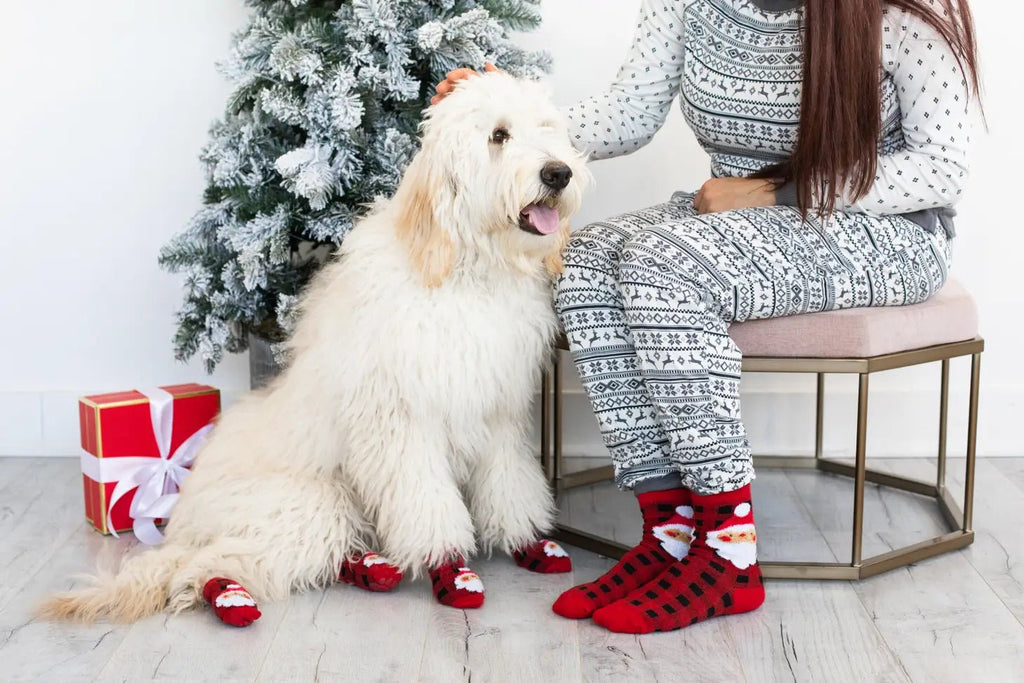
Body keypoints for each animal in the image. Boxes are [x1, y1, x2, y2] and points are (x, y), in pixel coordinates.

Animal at [39, 73, 589, 626]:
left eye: (548, 129)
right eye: (498, 135)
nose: (559, 173)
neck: (466, 270)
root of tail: (183, 518)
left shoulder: (499, 409)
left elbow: (509, 482)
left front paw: (524, 540)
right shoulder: (402, 424)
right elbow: (426, 503)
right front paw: (449, 564)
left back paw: (372, 569)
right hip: (312, 503)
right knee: (206, 566)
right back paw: (232, 597)